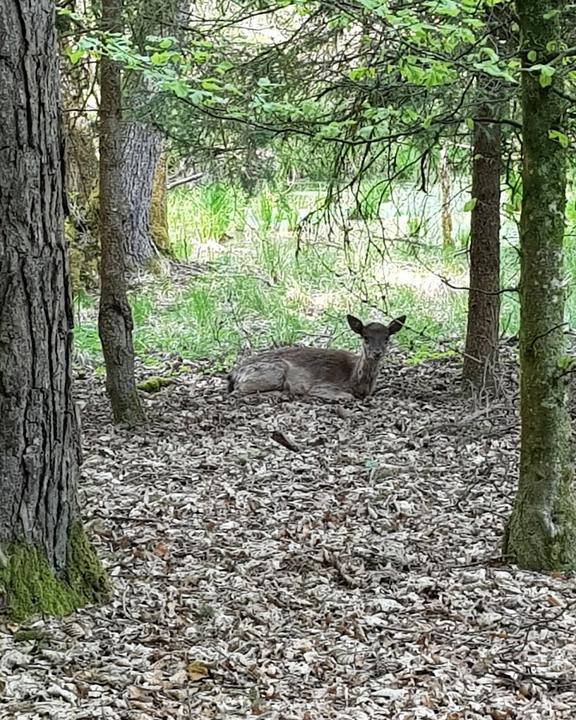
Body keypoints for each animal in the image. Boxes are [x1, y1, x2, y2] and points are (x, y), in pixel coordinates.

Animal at [226, 314, 404, 402]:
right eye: (365, 337)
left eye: (387, 338)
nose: (377, 353)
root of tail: (233, 374)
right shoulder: (322, 385)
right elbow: (347, 396)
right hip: (275, 370)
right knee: (237, 392)